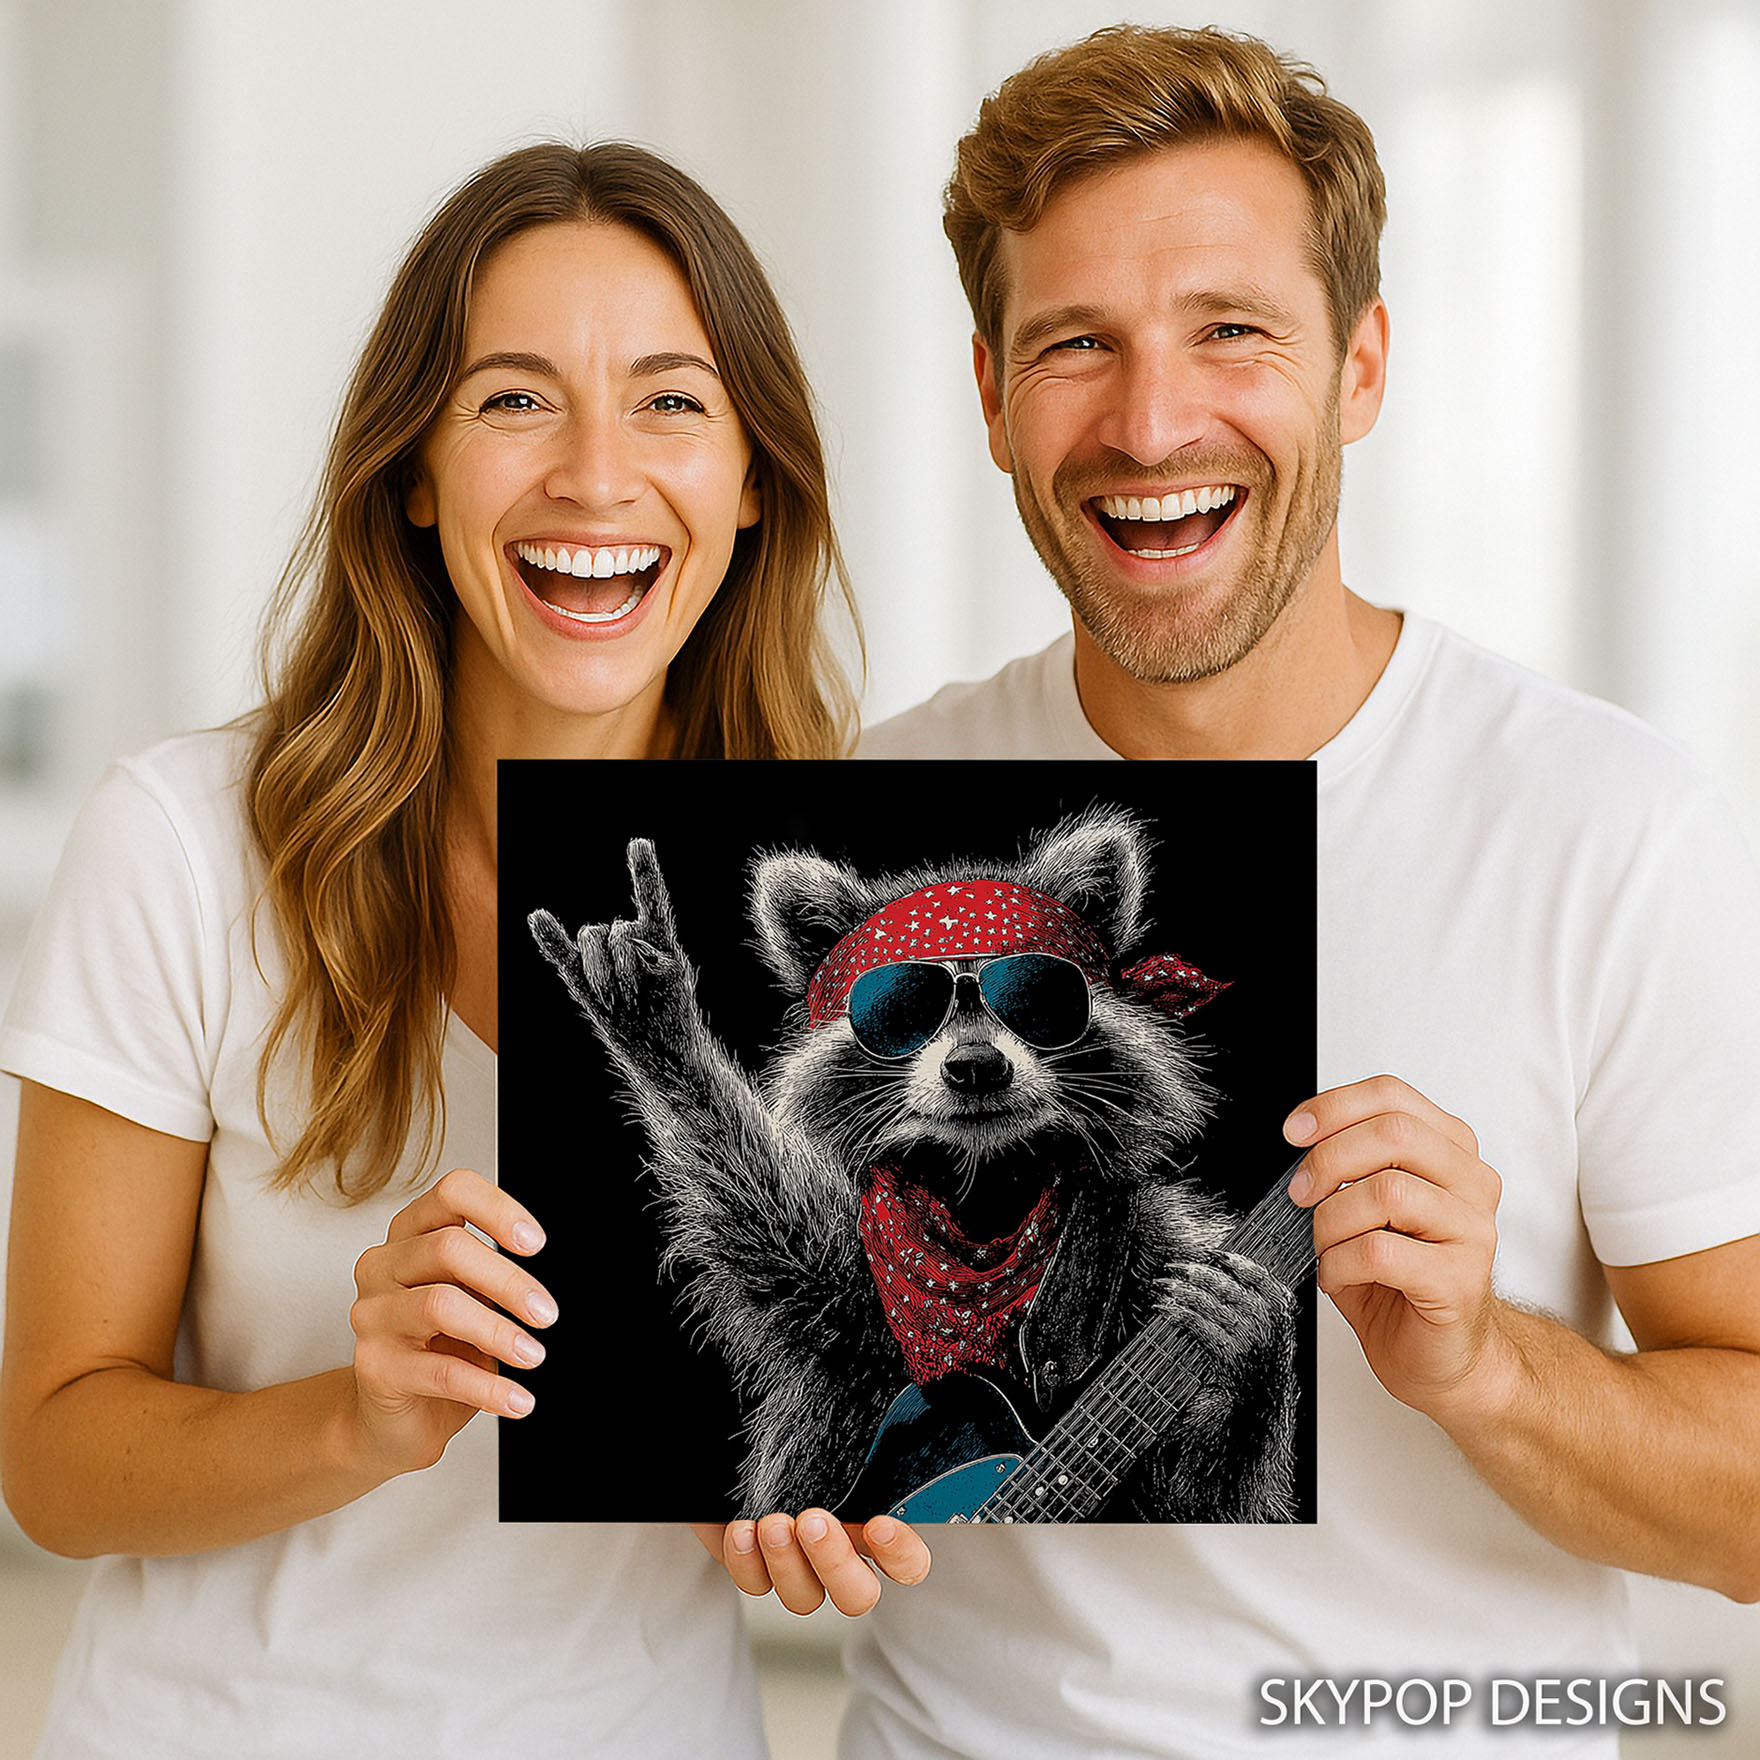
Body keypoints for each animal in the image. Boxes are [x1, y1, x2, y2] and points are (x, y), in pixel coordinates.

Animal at [528, 805, 1298, 1521]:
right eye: (900, 1006)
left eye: (1036, 996)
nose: (977, 1066)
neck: (983, 1196)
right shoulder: (842, 1271)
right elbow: (750, 1200)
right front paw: (655, 1019)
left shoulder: (1156, 1245)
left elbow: (1197, 1506)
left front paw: (1250, 1341)